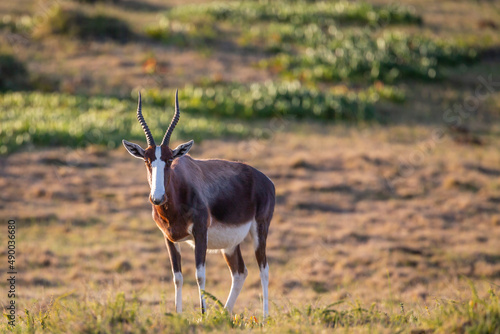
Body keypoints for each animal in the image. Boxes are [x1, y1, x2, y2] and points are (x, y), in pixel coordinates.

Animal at [122, 90, 276, 318]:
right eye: (147, 160)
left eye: (170, 159)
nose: (157, 198)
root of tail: (266, 180)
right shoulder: (168, 238)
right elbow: (177, 277)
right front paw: (178, 314)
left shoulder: (200, 232)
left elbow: (199, 275)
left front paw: (203, 315)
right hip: (230, 245)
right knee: (240, 272)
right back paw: (225, 314)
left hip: (260, 230)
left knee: (264, 269)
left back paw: (264, 317)